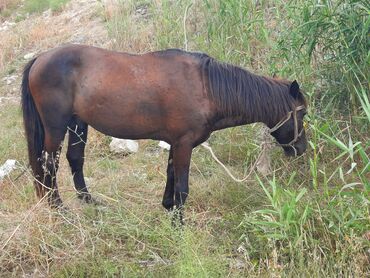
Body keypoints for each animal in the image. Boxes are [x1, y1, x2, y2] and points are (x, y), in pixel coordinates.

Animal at [21, 44, 308, 220]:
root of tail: (40, 59)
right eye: (303, 113)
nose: (301, 149)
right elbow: (182, 187)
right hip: (56, 128)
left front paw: (169, 209)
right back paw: (57, 208)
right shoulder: (184, 144)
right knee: (48, 165)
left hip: (78, 124)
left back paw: (88, 200)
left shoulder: (177, 143)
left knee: (75, 159)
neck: (206, 88)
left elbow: (171, 178)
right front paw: (179, 226)